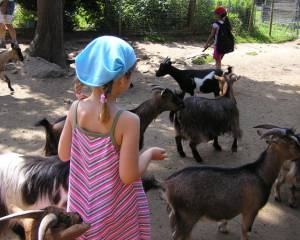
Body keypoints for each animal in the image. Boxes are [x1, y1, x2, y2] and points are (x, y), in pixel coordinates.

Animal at [161, 125, 300, 240]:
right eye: (292, 143)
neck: (260, 174)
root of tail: (167, 184)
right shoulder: (251, 209)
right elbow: (245, 231)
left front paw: (222, 227)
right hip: (187, 216)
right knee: (179, 236)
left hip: (174, 215)